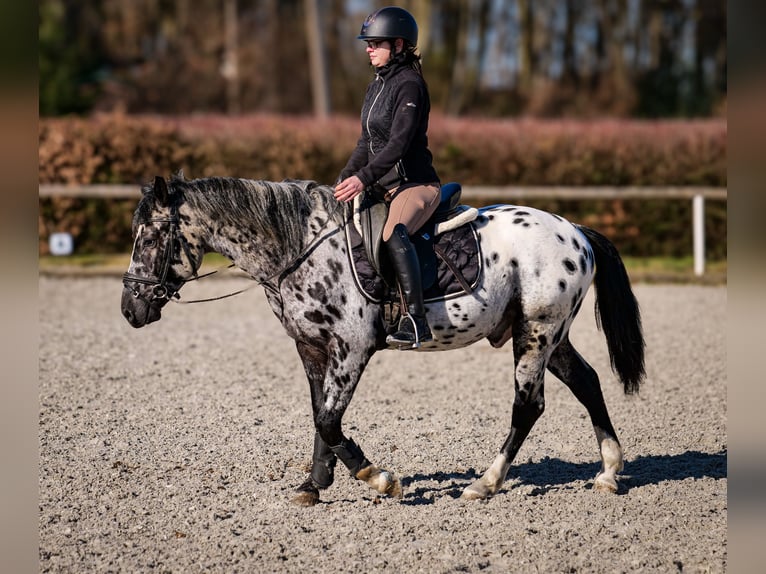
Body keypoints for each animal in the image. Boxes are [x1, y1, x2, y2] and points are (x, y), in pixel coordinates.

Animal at [121, 173, 648, 506]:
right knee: (587, 382)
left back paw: (486, 483)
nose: (130, 310)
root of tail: (574, 231)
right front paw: (314, 484)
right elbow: (320, 416)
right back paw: (607, 473)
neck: (299, 247)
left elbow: (330, 420)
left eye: (150, 237)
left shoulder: (352, 348)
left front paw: (377, 478)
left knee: (528, 405)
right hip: (546, 334)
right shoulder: (311, 348)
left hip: (537, 332)